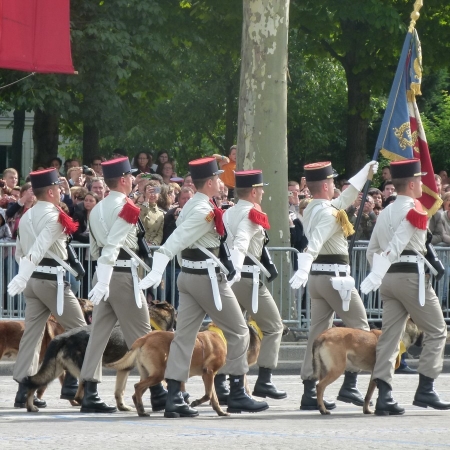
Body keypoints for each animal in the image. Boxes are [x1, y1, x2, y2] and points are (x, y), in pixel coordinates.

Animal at [109, 322, 264, 416]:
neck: (221, 335)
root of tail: (145, 338)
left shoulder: (210, 375)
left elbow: (213, 397)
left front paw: (220, 412)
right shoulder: (208, 373)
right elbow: (208, 394)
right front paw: (196, 403)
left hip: (148, 373)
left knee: (137, 392)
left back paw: (140, 410)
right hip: (158, 374)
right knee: (137, 387)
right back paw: (142, 410)